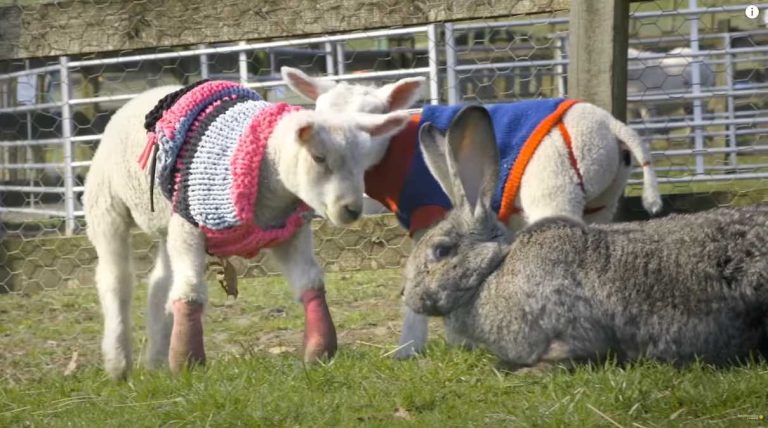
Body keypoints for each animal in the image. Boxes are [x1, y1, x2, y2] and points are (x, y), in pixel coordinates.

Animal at [83, 80, 410, 379]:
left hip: (166, 222)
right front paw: (187, 362)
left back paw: (155, 360)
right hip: (105, 204)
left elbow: (310, 282)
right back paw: (118, 363)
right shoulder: (189, 228)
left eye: (364, 160)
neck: (268, 170)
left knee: (160, 282)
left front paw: (319, 350)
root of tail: (144, 95)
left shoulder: (291, 232)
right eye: (319, 157)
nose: (352, 209)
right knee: (116, 279)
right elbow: (190, 290)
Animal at [281, 67, 663, 357]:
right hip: (603, 198)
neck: (391, 153)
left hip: (554, 183)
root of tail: (610, 124)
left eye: (371, 118)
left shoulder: (426, 209)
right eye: (321, 112)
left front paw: (410, 349)